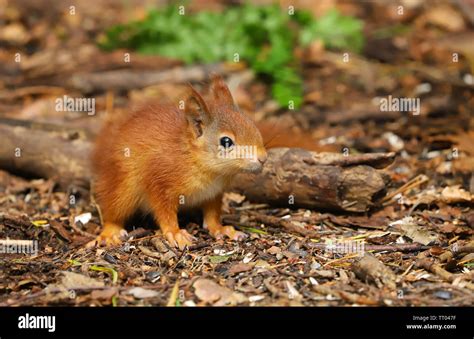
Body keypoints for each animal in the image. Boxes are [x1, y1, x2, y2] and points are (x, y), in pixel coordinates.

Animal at [87, 75, 268, 250]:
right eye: (226, 141)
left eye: (252, 124)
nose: (263, 158)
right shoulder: (159, 180)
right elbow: (164, 212)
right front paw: (175, 233)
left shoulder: (213, 193)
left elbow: (211, 214)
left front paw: (220, 228)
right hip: (122, 187)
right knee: (112, 210)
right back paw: (110, 232)